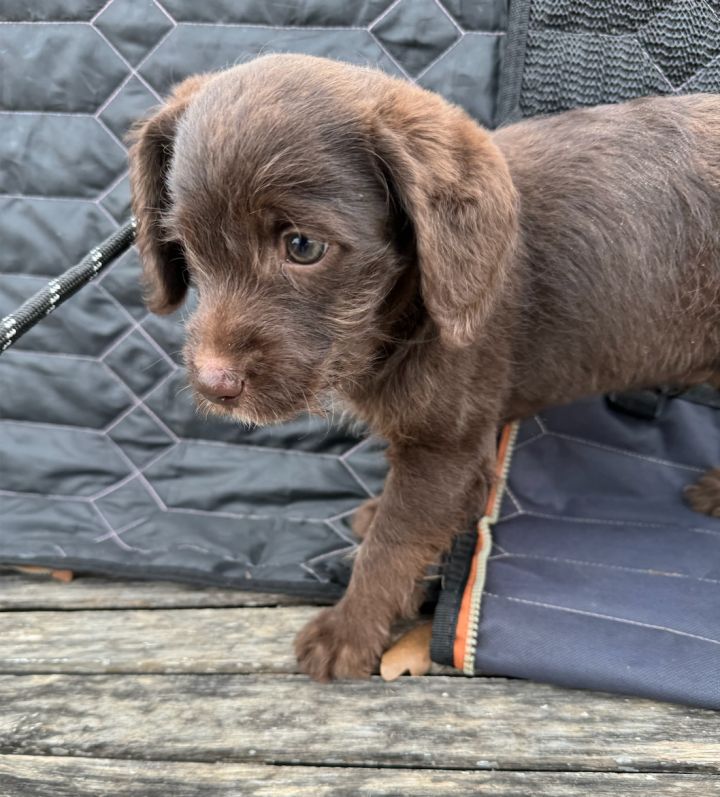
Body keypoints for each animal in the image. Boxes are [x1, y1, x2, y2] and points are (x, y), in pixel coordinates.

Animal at [128, 54, 720, 676]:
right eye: (185, 245)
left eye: (303, 246)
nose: (214, 384)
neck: (406, 311)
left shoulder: (446, 450)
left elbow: (391, 547)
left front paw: (348, 634)